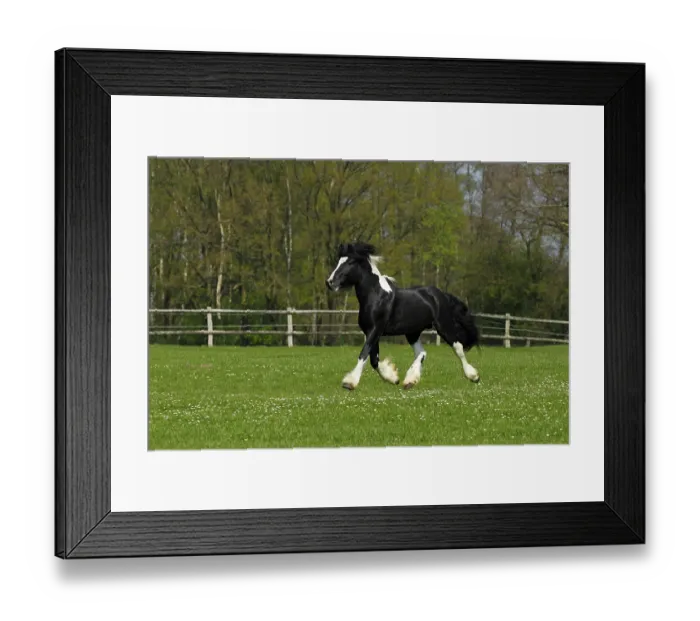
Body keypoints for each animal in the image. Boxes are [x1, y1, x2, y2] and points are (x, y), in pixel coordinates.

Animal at [326, 242, 481, 390]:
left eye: (350, 262)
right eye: (339, 260)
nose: (330, 282)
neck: (376, 295)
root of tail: (441, 294)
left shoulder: (375, 330)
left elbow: (364, 354)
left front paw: (349, 383)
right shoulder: (371, 332)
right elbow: (374, 360)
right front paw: (393, 378)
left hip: (444, 326)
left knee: (458, 348)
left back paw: (474, 376)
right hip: (412, 332)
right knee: (421, 353)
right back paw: (410, 381)